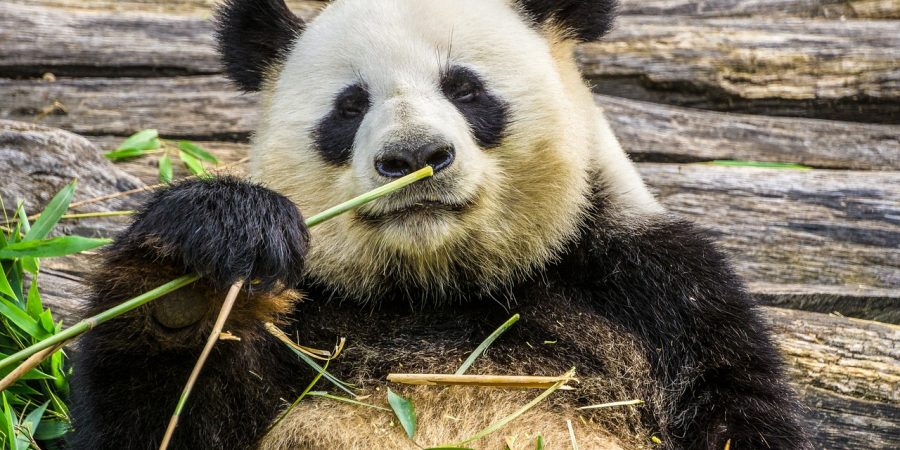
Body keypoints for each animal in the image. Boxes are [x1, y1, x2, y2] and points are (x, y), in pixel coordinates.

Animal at [70, 0, 808, 448]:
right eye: (349, 105)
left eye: (466, 89)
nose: (414, 156)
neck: (436, 284)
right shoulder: (313, 319)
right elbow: (165, 423)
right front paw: (198, 272)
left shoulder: (660, 295)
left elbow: (734, 410)